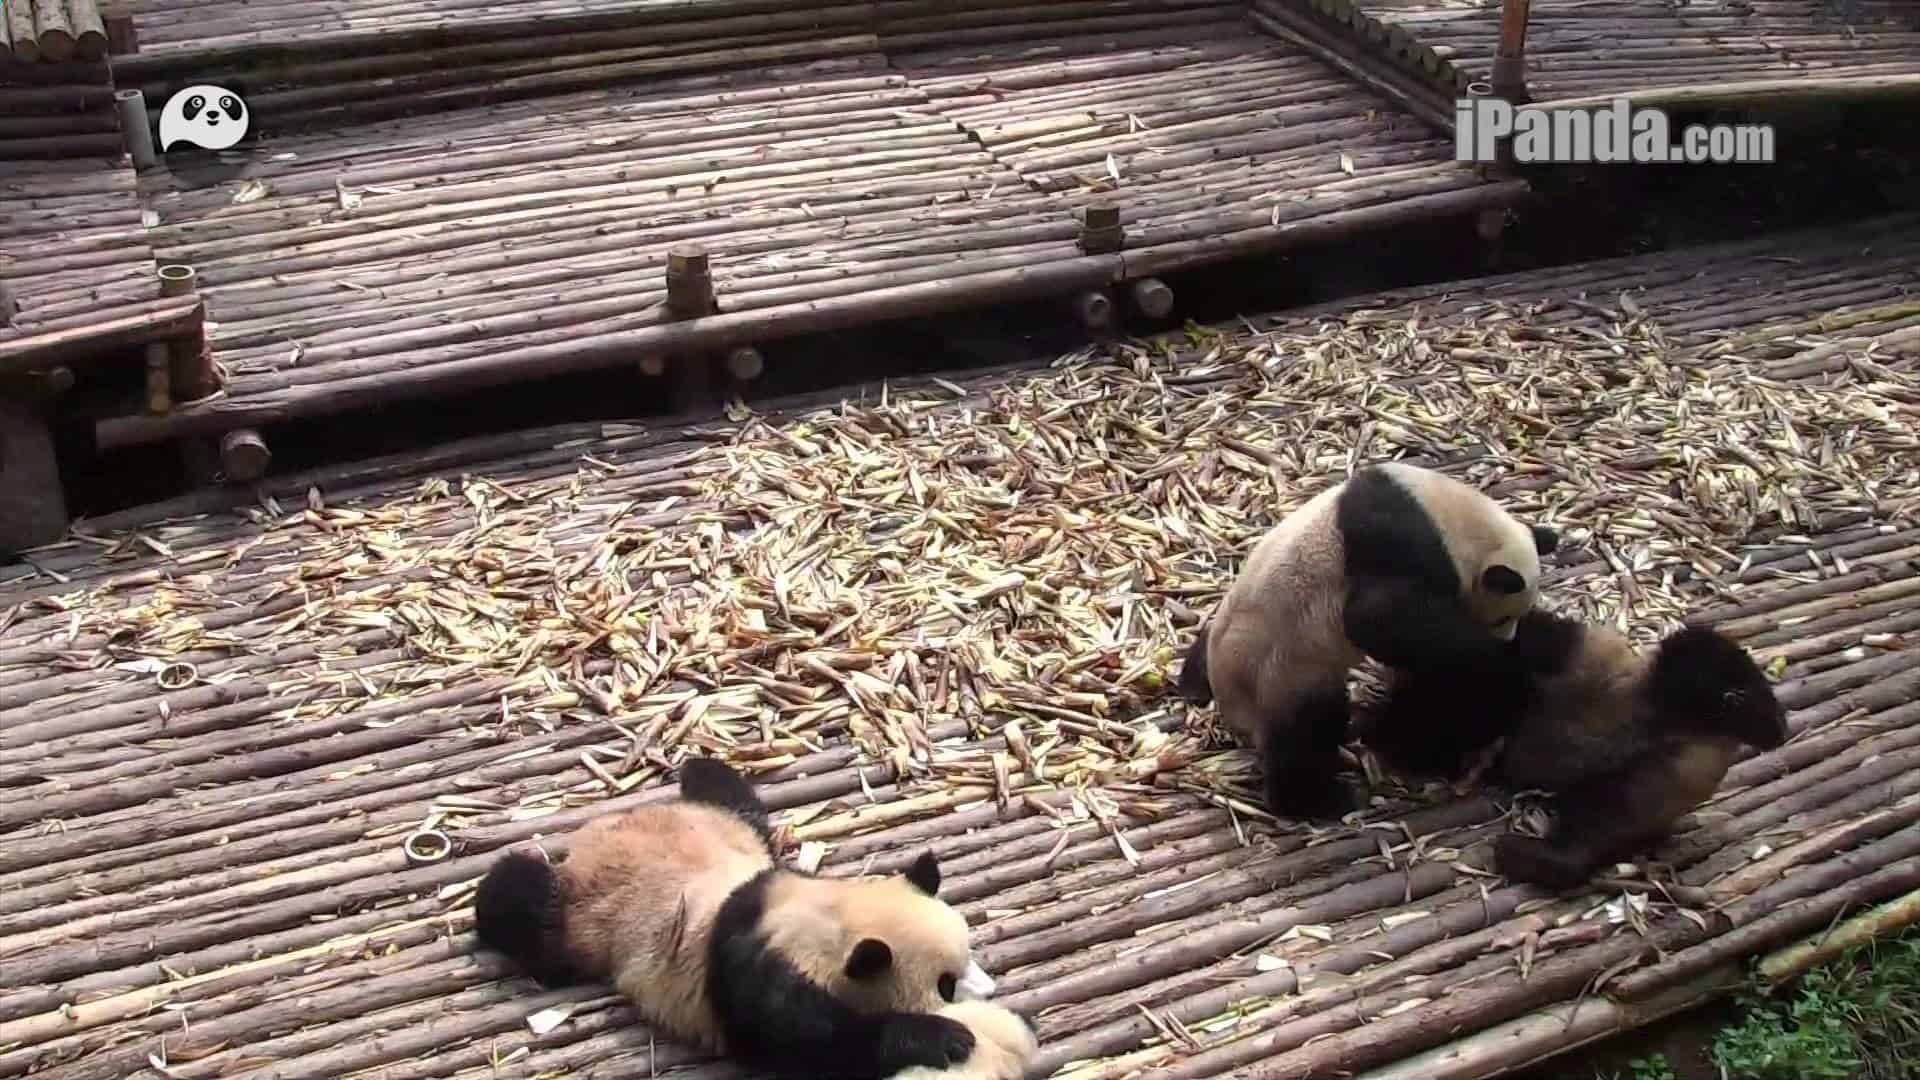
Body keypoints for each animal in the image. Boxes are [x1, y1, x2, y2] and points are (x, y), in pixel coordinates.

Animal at [474, 757, 997, 1078]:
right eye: (945, 985)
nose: (990, 992)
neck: (822, 918)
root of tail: (595, 834)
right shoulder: (758, 979)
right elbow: (815, 1046)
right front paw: (945, 1039)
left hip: (723, 824)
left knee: (723, 789)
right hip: (584, 918)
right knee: (527, 910)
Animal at [1176, 461, 1559, 821]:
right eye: (1502, 618)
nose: (1507, 636)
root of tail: (1230, 708)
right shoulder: (1400, 542)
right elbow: (1373, 617)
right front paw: (1497, 656)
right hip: (1282, 669)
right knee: (1304, 731)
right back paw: (1318, 799)